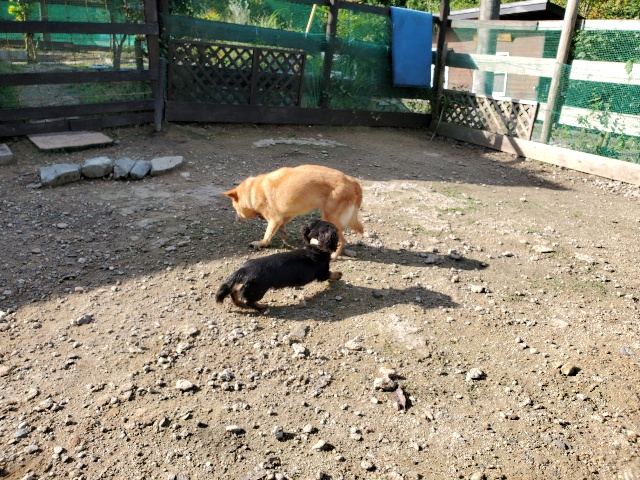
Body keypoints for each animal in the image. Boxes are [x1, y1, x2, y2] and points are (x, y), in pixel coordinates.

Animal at [222, 164, 364, 258]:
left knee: (342, 240)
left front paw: (261, 244)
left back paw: (333, 256)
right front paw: (283, 235)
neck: (252, 191)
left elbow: (267, 235)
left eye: (235, 208)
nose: (236, 219)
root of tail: (353, 181)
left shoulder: (274, 219)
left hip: (330, 218)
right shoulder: (289, 213)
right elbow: (282, 225)